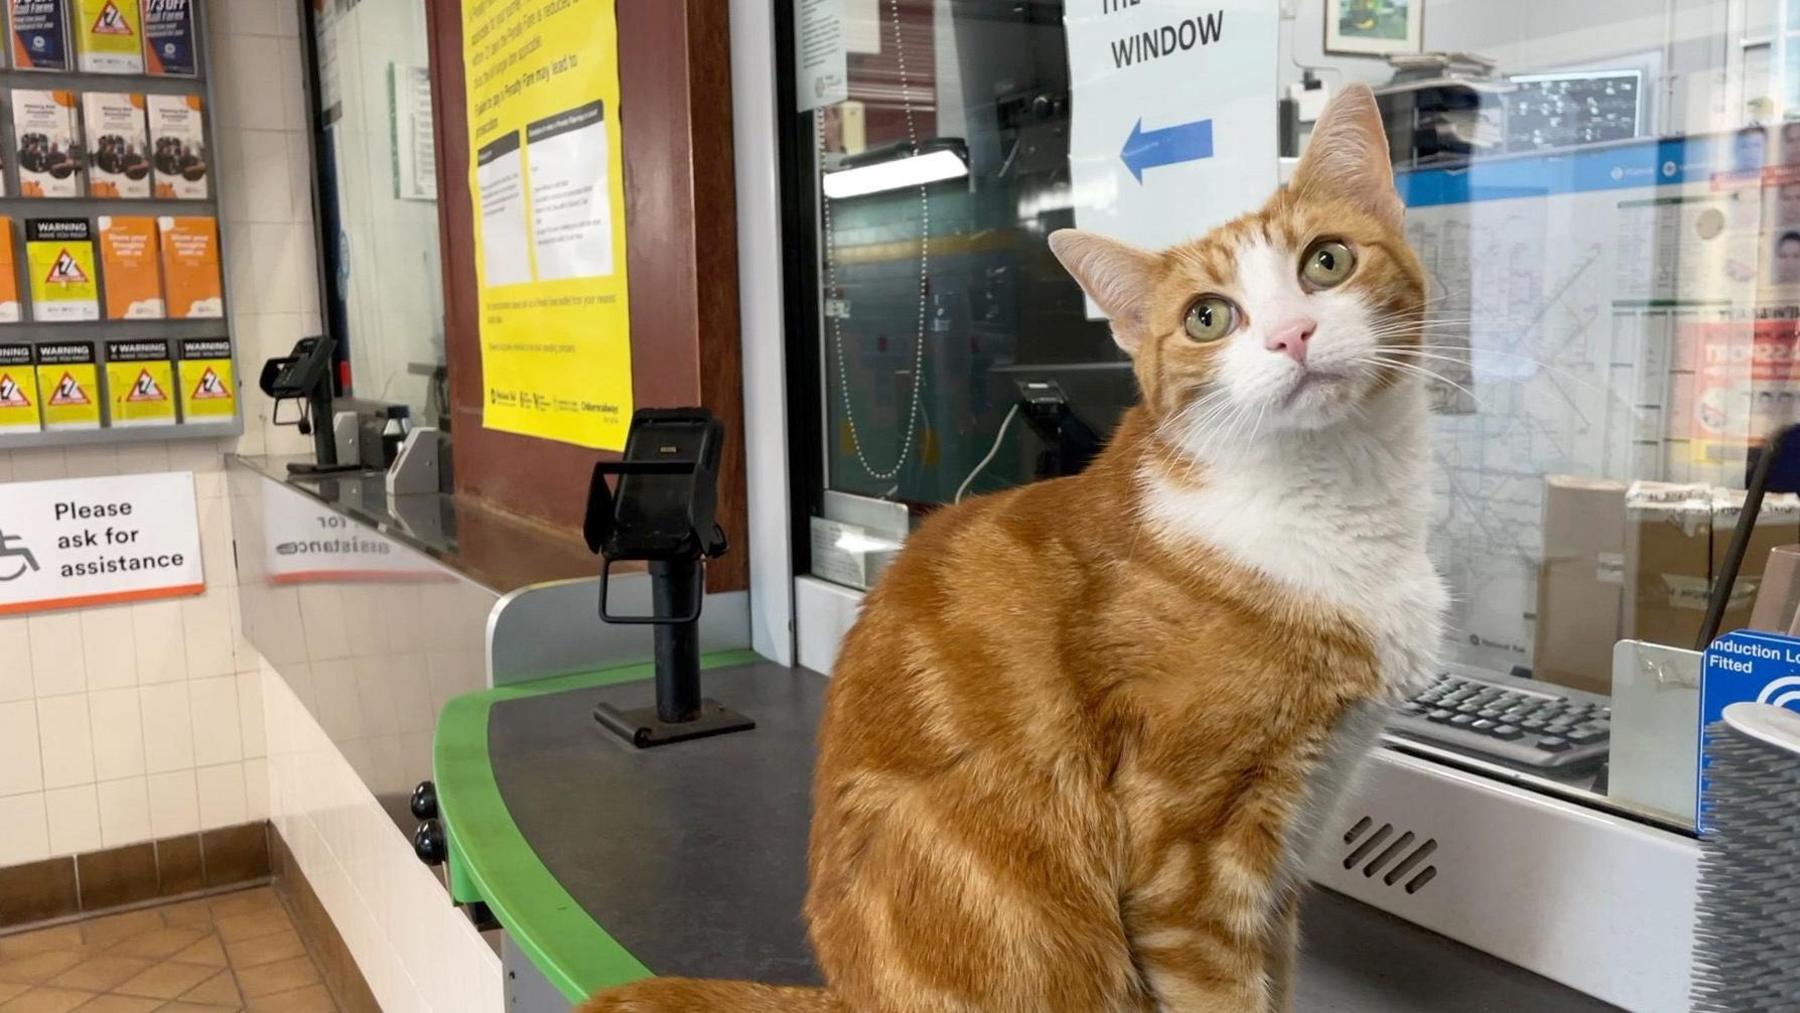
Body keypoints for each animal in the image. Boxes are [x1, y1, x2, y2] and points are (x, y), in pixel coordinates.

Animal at [586, 85, 1447, 1013]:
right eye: (1208, 317)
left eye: (1327, 262)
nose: (1292, 335)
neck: (1334, 500)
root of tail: (845, 993)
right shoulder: (1191, 854)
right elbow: (1221, 986)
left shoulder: (1296, 838)